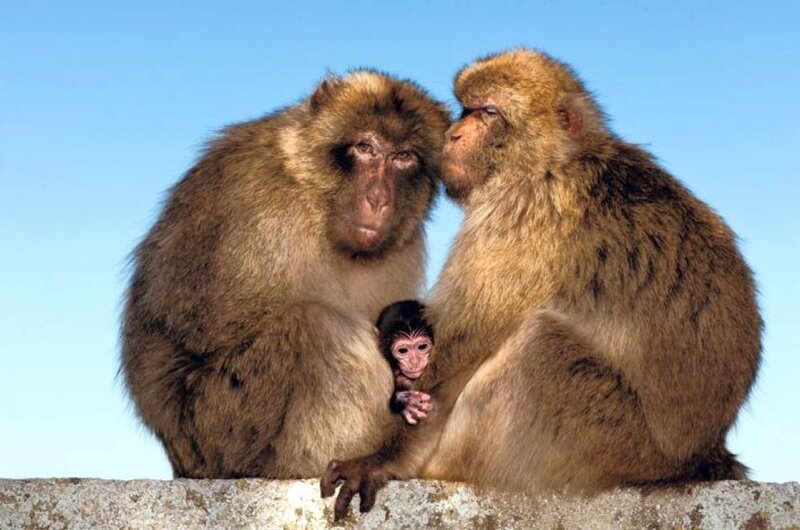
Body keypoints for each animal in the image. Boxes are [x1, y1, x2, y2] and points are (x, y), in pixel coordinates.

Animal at [120, 70, 450, 479]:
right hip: (217, 432)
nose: (378, 199)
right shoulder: (255, 208)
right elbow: (209, 327)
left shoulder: (404, 245)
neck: (314, 200)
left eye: (403, 157)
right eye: (365, 148)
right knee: (317, 327)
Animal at [321, 49, 762, 520]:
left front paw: (382, 459)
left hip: (612, 441)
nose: (454, 135)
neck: (552, 161)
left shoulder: (518, 215)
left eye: (488, 113)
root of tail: (700, 454)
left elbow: (455, 357)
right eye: (465, 109)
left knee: (540, 345)